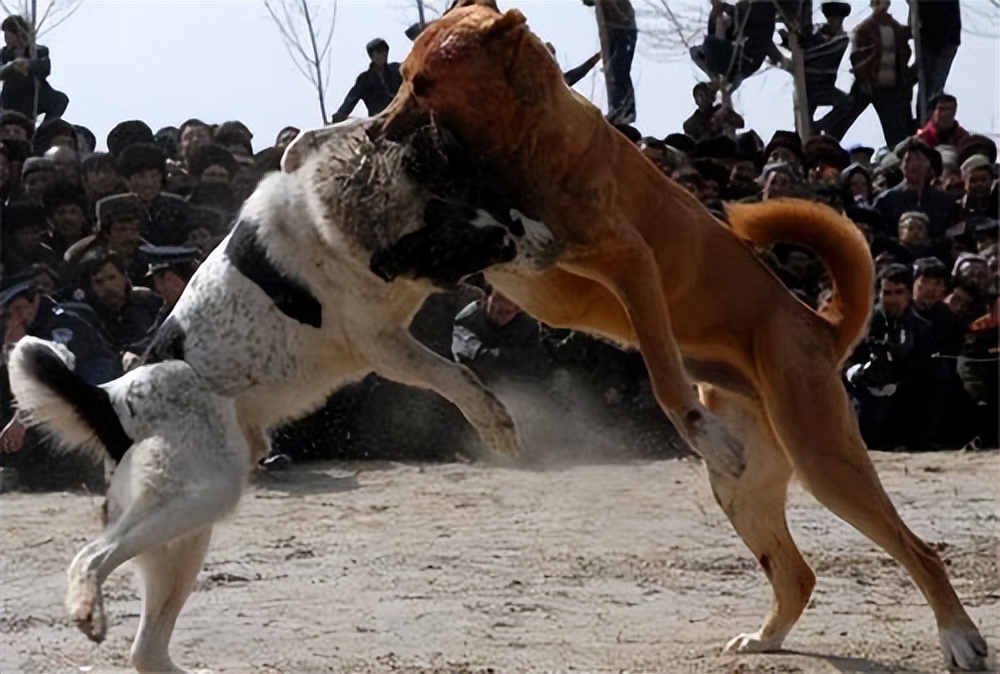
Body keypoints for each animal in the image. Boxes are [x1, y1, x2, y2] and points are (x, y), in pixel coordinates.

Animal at [7, 118, 556, 668]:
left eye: (509, 208)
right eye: (497, 243)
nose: (553, 245)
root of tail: (112, 401)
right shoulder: (382, 344)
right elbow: (455, 377)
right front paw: (497, 426)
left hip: (184, 531)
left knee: (147, 650)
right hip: (200, 490)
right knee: (91, 557)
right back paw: (87, 609)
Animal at [372, 3, 988, 668]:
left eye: (423, 83)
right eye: (401, 77)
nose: (377, 134)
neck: (527, 137)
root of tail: (819, 325)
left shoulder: (629, 269)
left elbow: (666, 377)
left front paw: (697, 429)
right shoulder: (544, 284)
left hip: (825, 460)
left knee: (917, 550)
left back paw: (959, 635)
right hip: (743, 489)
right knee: (797, 574)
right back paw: (768, 637)